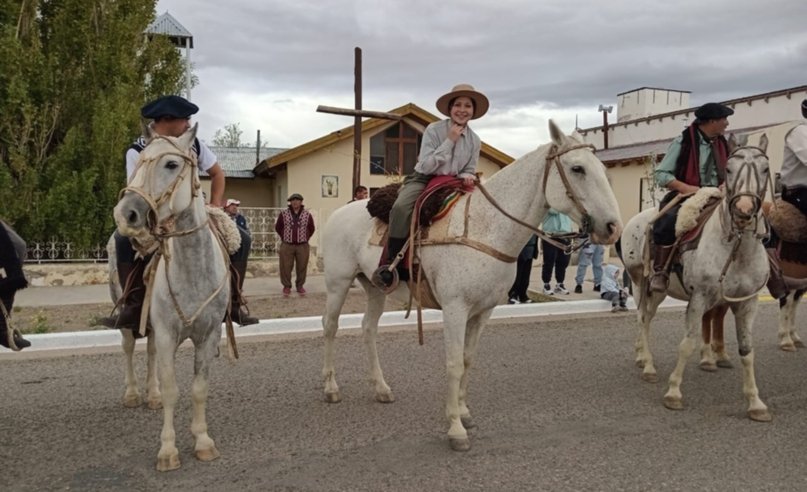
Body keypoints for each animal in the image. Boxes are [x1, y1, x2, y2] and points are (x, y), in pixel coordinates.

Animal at [112, 125, 230, 470]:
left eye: (171, 164)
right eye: (138, 163)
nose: (124, 215)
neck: (192, 269)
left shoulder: (208, 335)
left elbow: (198, 389)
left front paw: (203, 441)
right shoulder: (166, 333)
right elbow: (171, 389)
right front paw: (167, 449)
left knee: (148, 351)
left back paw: (148, 395)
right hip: (129, 318)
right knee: (128, 348)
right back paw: (134, 393)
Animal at [322, 121, 624, 452]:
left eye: (602, 168)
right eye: (577, 168)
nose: (613, 228)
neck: (485, 227)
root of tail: (339, 213)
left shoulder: (483, 311)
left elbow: (468, 360)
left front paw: (464, 413)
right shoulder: (455, 309)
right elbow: (454, 363)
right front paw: (455, 429)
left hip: (375, 287)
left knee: (368, 329)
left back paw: (381, 388)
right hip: (338, 283)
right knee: (330, 327)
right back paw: (331, 387)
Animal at [620, 135, 772, 422]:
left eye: (765, 170)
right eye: (729, 169)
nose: (743, 210)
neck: (736, 249)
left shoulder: (747, 303)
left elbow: (747, 351)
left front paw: (756, 403)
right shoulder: (699, 298)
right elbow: (687, 343)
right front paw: (673, 393)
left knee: (644, 319)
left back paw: (640, 356)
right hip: (644, 286)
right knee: (643, 319)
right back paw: (648, 366)